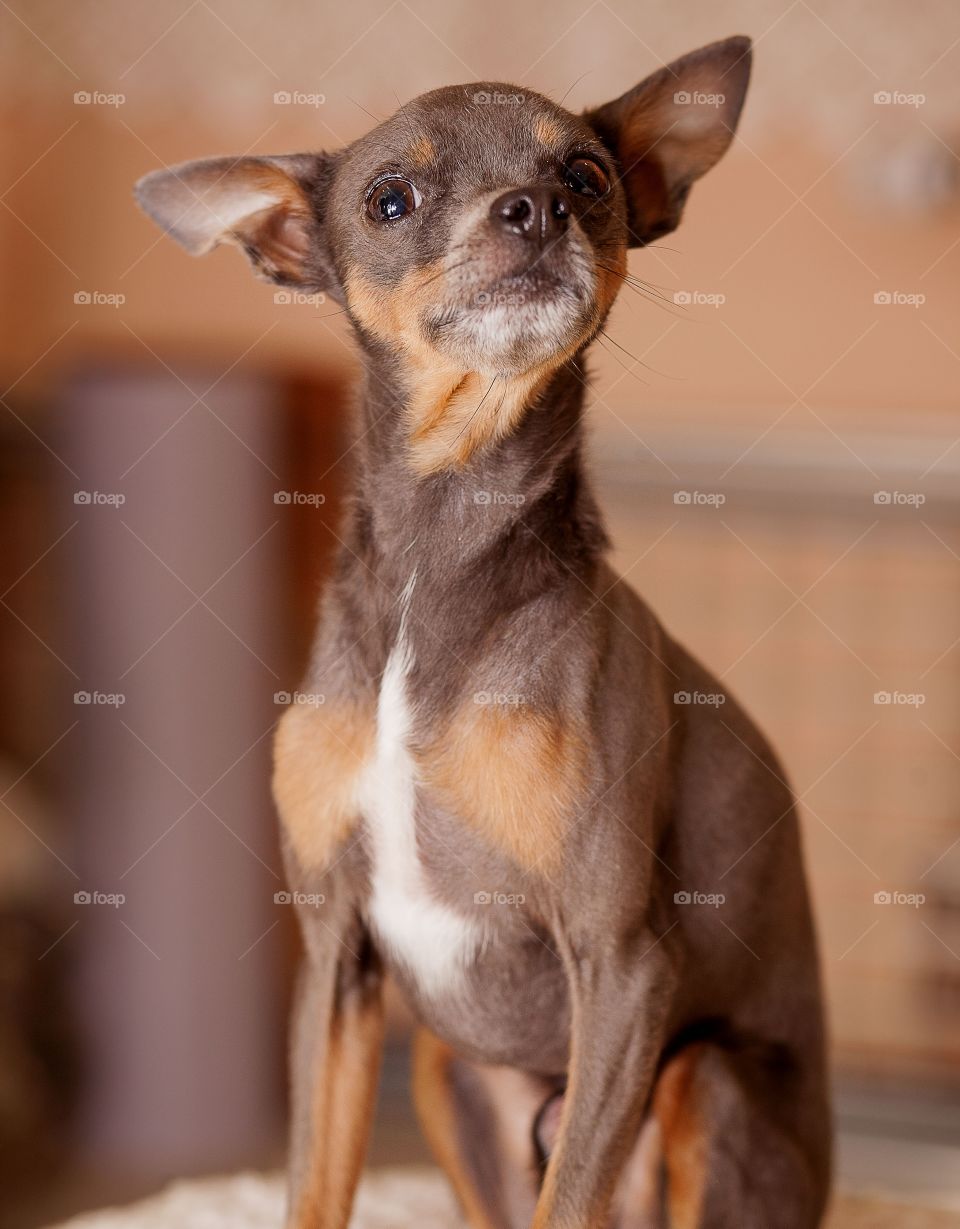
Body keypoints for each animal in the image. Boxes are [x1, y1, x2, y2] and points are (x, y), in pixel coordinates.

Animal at [134, 38, 830, 1229]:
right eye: (389, 199)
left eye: (587, 176)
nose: (533, 208)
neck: (442, 542)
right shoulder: (335, 957)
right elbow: (315, 1179)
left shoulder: (621, 959)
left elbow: (567, 1203)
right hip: (442, 1064)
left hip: (704, 1078)